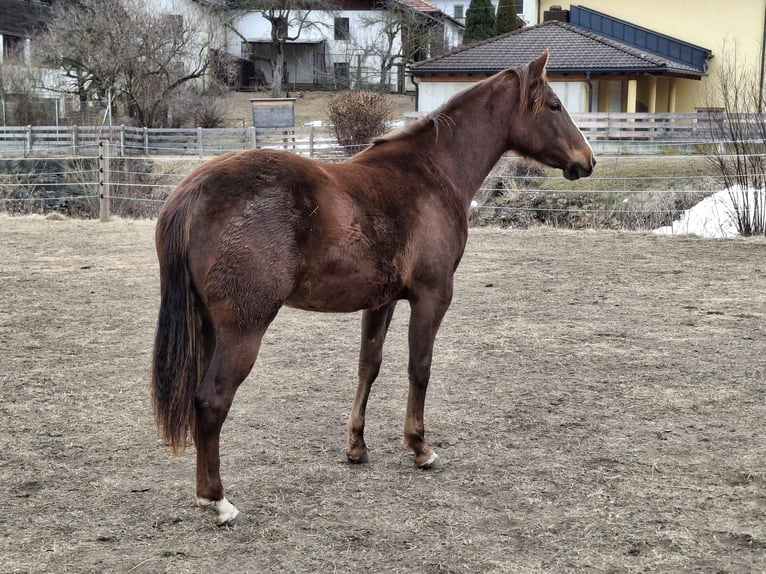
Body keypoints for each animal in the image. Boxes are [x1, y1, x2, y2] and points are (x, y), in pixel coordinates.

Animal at [151, 51, 595, 526]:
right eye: (555, 105)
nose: (588, 160)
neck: (432, 171)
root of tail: (193, 191)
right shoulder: (432, 297)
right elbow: (419, 367)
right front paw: (420, 447)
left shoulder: (381, 302)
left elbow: (369, 367)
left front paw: (356, 446)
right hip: (243, 330)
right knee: (211, 401)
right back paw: (217, 499)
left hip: (209, 328)